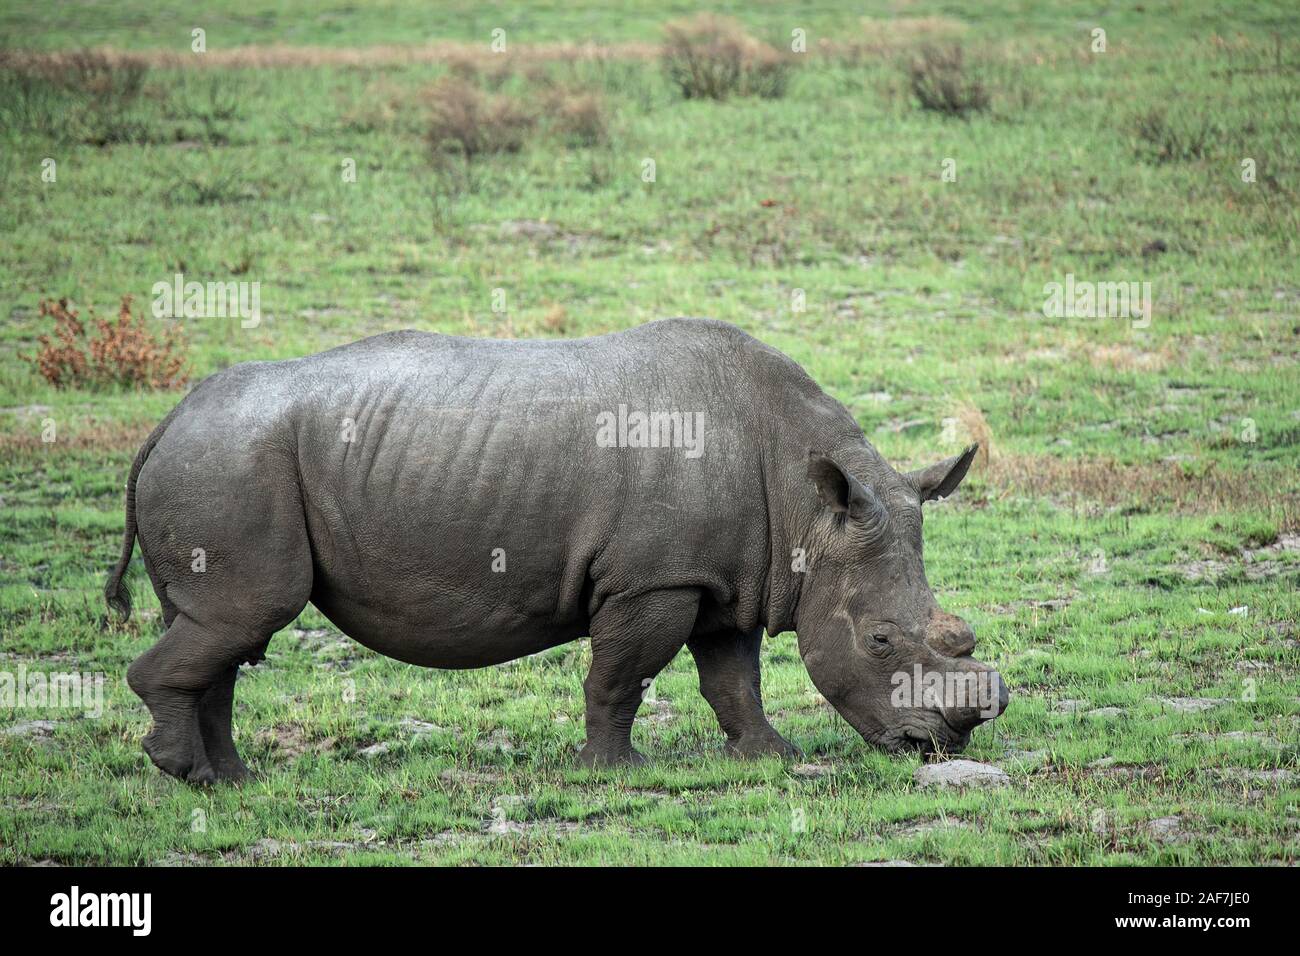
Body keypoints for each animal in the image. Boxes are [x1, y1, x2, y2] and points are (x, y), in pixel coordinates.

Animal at [106, 318, 1007, 783]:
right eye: (881, 641)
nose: (939, 747)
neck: (808, 509)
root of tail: (168, 420)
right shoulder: (653, 580)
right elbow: (621, 676)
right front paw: (616, 770)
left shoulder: (723, 576)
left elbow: (732, 677)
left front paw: (769, 757)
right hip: (228, 463)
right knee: (245, 617)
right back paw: (186, 774)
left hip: (223, 460)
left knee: (224, 630)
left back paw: (234, 780)